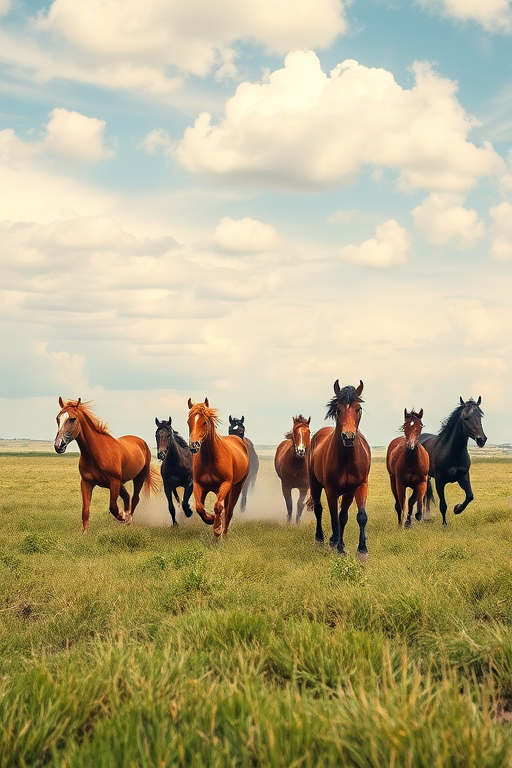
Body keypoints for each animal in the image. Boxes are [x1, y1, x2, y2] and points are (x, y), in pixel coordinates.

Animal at [54, 398, 159, 533]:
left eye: (72, 419)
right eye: (58, 418)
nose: (58, 446)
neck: (96, 453)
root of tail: (141, 442)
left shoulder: (114, 482)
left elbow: (113, 507)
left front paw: (123, 516)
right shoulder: (86, 483)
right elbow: (85, 510)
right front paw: (84, 534)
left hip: (139, 477)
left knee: (135, 498)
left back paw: (128, 519)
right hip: (121, 482)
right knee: (127, 497)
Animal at [187, 398, 249, 537]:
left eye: (204, 422)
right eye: (189, 421)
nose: (194, 445)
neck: (210, 459)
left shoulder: (225, 485)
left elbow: (218, 508)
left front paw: (217, 529)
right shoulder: (199, 485)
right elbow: (199, 508)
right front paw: (210, 519)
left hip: (236, 487)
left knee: (229, 511)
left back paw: (224, 535)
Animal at [307, 380, 371, 558]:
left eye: (358, 408)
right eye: (338, 409)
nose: (348, 437)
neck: (347, 459)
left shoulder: (358, 487)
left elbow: (357, 516)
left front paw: (361, 550)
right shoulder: (331, 491)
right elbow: (334, 518)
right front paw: (337, 546)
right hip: (315, 483)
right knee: (319, 509)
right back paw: (321, 539)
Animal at [418, 397, 486, 525]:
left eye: (480, 416)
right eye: (466, 418)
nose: (482, 439)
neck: (453, 453)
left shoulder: (463, 477)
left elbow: (470, 496)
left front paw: (457, 509)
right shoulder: (440, 481)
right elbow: (443, 505)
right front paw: (445, 524)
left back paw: (426, 516)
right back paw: (422, 516)